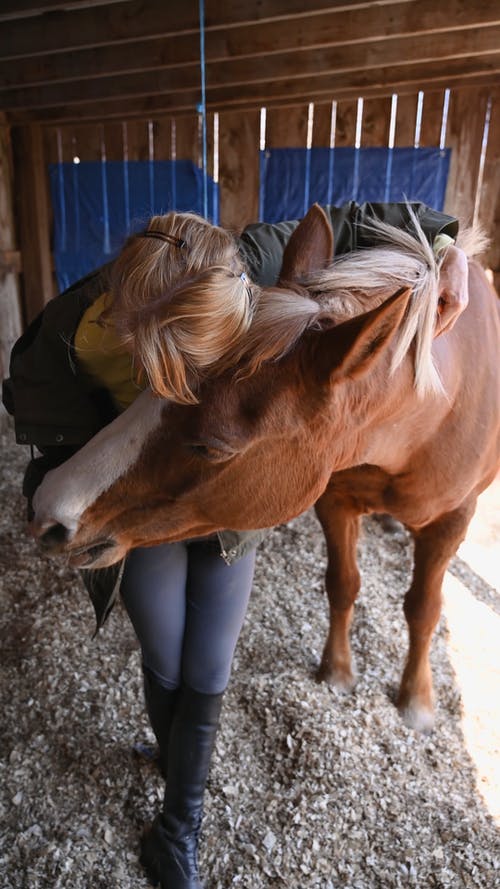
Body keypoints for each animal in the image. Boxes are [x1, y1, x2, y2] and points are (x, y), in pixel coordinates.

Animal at [32, 205, 500, 732]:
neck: (430, 416)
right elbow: (343, 584)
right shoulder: (334, 501)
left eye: (210, 445)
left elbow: (423, 609)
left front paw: (417, 701)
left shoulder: (452, 521)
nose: (49, 507)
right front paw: (338, 672)